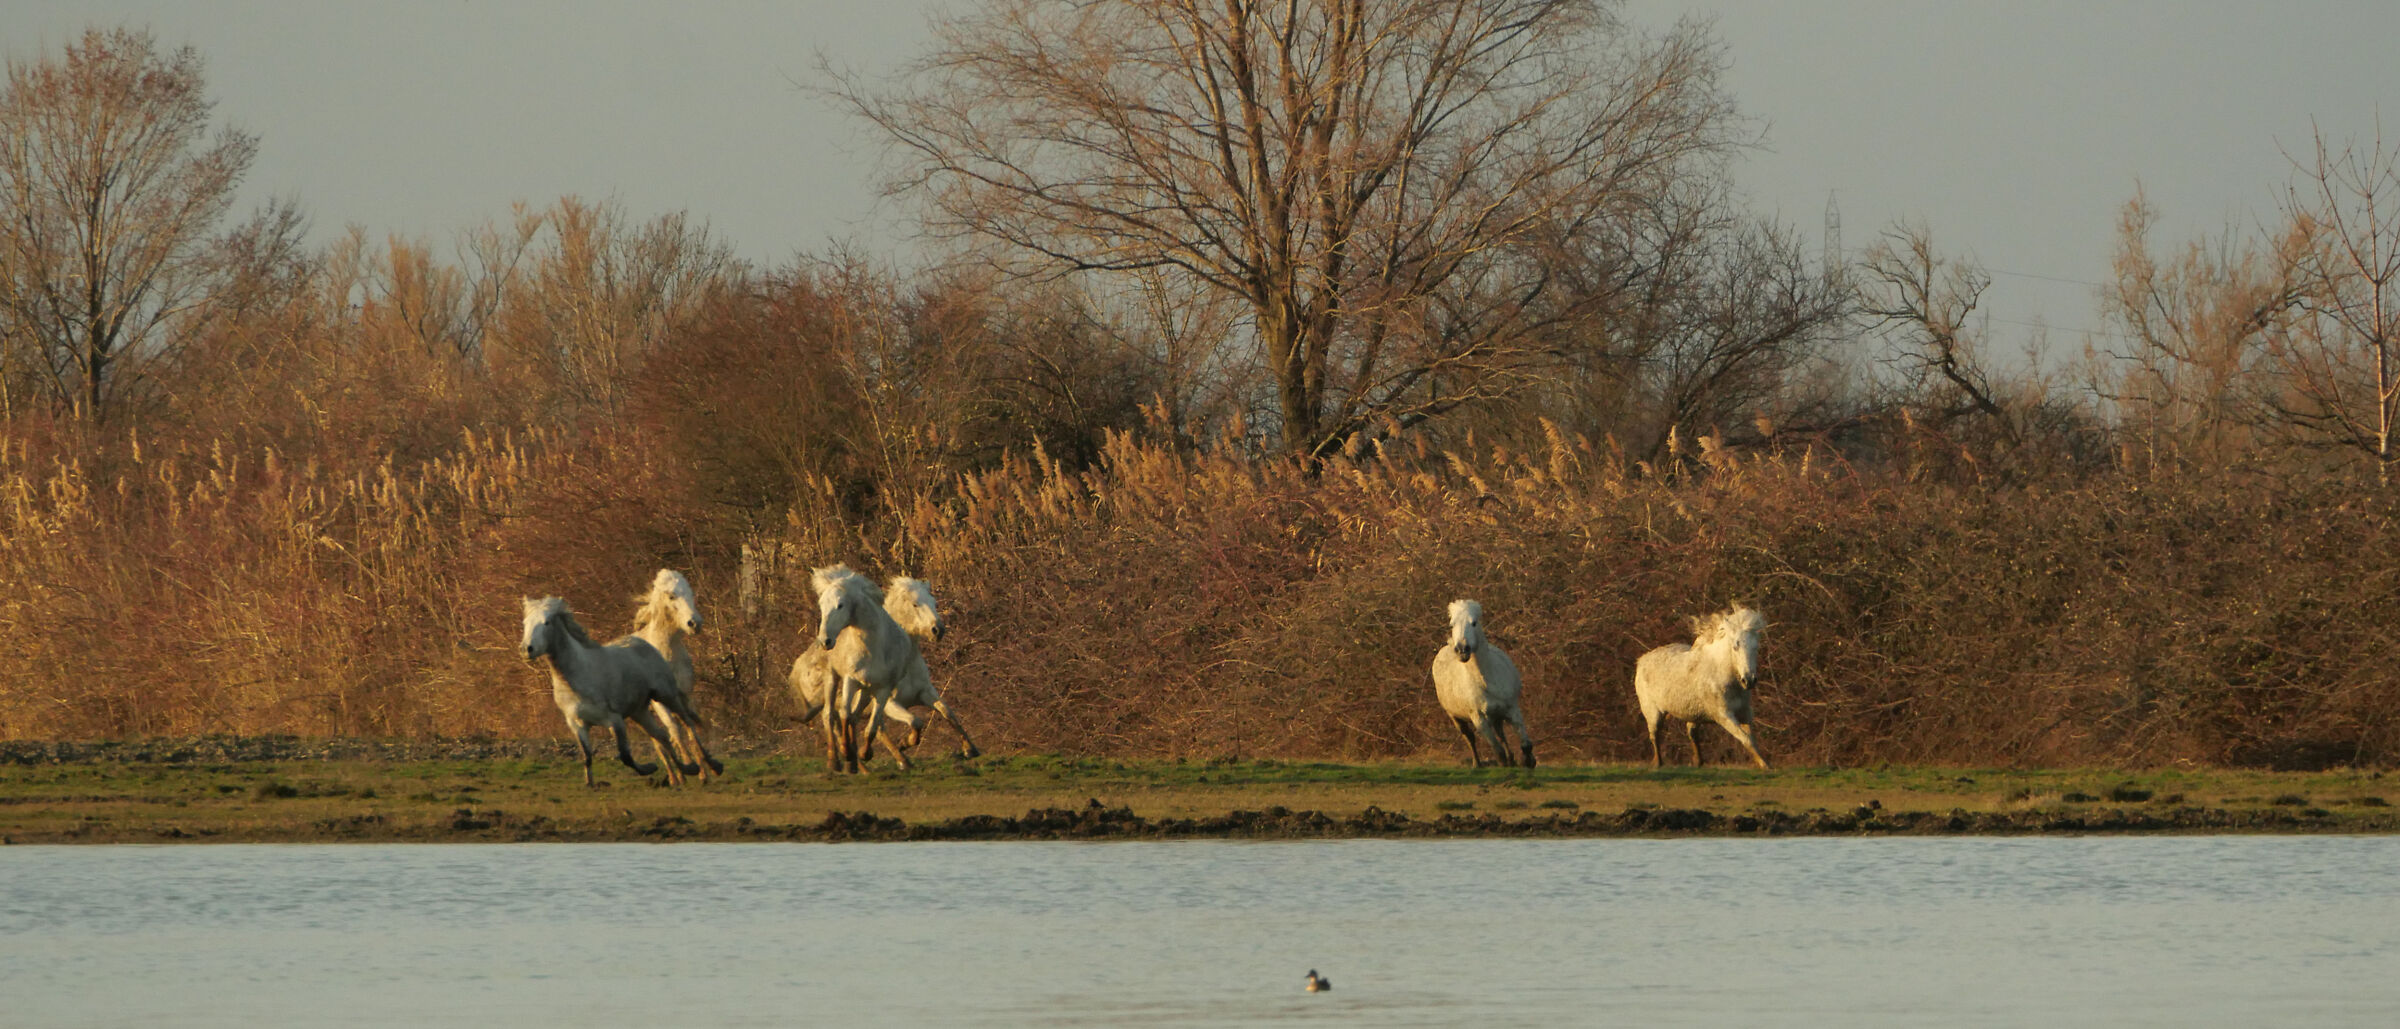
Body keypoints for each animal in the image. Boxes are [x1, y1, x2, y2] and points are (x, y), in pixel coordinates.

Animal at [520, 596, 698, 786]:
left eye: (546, 622)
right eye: (525, 622)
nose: (526, 649)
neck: (578, 676)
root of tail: (643, 642)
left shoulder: (614, 720)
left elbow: (625, 756)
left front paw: (649, 768)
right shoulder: (577, 724)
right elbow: (587, 756)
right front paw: (590, 784)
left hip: (666, 695)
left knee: (686, 723)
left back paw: (702, 767)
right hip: (639, 711)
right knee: (661, 736)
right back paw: (684, 773)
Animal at [628, 569, 725, 784]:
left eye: (691, 593)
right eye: (672, 596)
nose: (695, 623)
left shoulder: (684, 695)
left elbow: (689, 726)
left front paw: (709, 769)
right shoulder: (659, 703)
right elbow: (675, 730)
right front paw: (691, 766)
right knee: (659, 740)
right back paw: (675, 778)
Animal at [1428, 599, 1536, 768]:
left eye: (1473, 623)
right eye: (1452, 625)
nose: (1462, 650)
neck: (1487, 681)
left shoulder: (1512, 708)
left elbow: (1526, 744)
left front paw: (1528, 762)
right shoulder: (1479, 720)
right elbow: (1498, 752)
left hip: (1497, 716)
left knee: (1501, 734)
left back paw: (1511, 759)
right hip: (1456, 718)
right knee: (1470, 738)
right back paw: (1477, 764)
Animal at [1633, 603, 1769, 769]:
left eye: (1756, 647)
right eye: (1735, 647)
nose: (1749, 680)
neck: (1721, 673)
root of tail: (1642, 660)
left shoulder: (1744, 713)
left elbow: (1752, 739)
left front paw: (1765, 763)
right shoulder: (1723, 716)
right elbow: (1746, 739)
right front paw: (1765, 766)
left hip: (1693, 714)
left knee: (1692, 733)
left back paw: (1698, 762)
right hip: (1652, 712)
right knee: (1654, 735)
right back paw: (1658, 763)